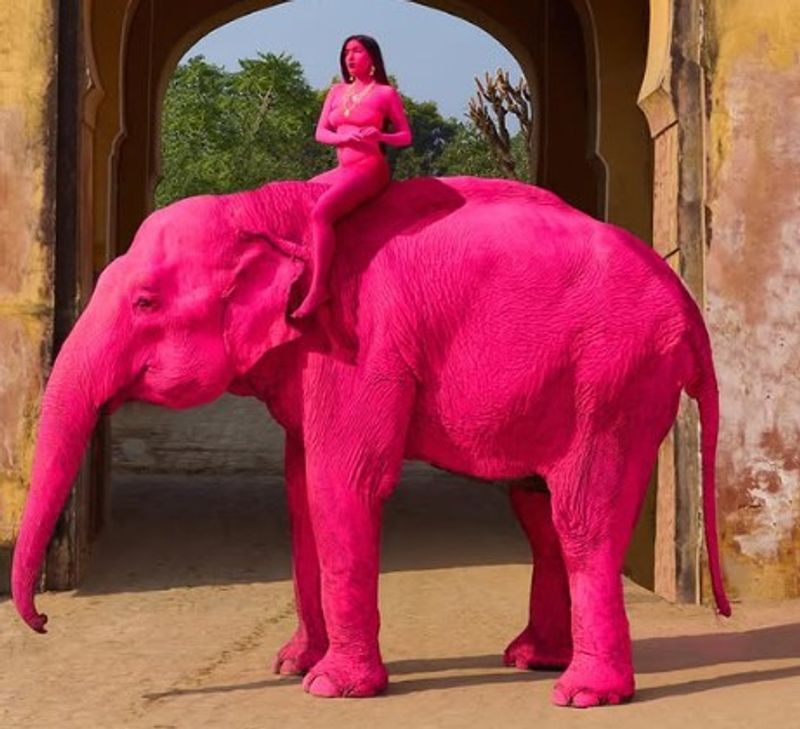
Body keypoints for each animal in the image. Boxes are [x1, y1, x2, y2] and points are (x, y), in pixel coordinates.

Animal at [11, 176, 730, 708]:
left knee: (581, 514)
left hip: (616, 377)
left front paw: (330, 687)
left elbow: (343, 482)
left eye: (145, 303)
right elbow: (301, 489)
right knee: (537, 507)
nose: (44, 621)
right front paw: (290, 665)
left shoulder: (359, 344)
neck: (270, 210)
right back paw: (531, 660)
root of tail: (690, 306)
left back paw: (581, 694)